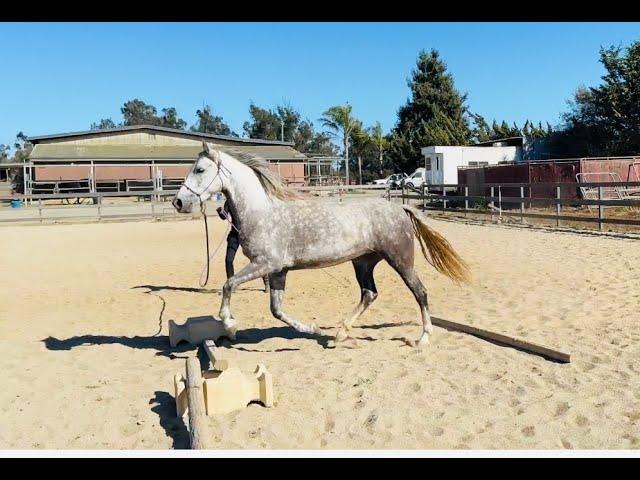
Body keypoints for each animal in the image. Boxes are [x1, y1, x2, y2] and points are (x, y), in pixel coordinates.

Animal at [171, 142, 470, 344]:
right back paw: (339, 334)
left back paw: (422, 338)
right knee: (369, 293)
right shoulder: (278, 271)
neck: (262, 211)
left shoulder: (265, 264)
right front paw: (313, 329)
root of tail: (400, 208)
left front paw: (229, 323)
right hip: (363, 262)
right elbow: (276, 310)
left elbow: (228, 284)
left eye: (200, 169)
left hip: (400, 260)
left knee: (420, 292)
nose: (178, 202)